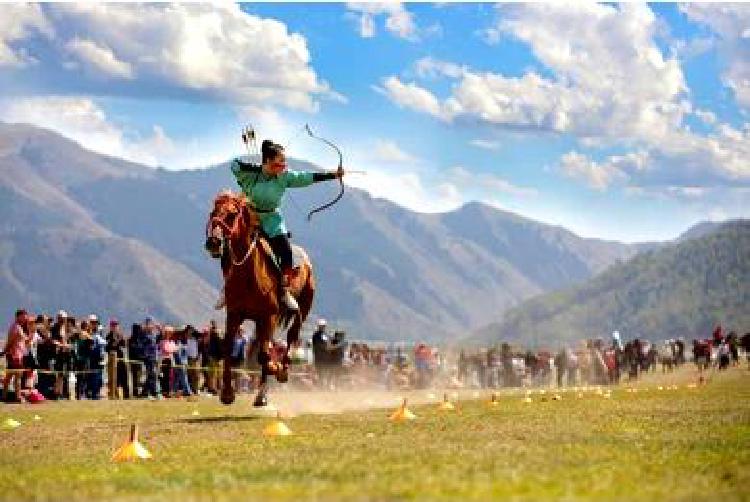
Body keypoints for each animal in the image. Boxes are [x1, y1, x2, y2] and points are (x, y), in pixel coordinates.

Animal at [204, 190, 316, 406]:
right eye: (213, 212)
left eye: (232, 215)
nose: (213, 242)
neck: (249, 276)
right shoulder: (234, 314)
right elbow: (228, 348)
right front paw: (227, 393)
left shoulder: (269, 316)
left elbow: (265, 355)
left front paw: (275, 367)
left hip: (302, 308)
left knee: (291, 336)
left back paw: (279, 375)